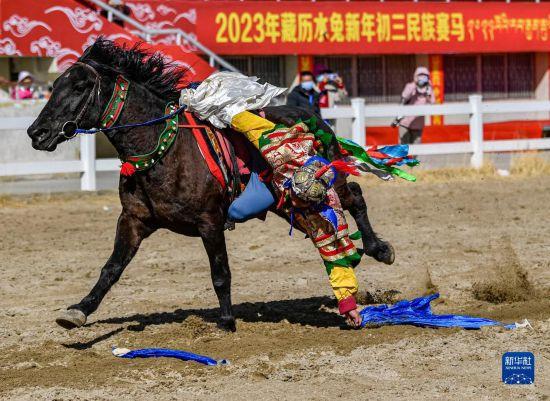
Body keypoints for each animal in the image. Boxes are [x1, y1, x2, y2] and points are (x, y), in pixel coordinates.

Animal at [28, 39, 394, 330]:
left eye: (78, 88)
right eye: (54, 86)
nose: (37, 132)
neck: (165, 149)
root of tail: (316, 117)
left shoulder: (210, 221)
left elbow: (220, 272)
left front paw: (227, 320)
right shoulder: (134, 219)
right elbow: (111, 268)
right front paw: (79, 309)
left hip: (326, 183)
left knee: (355, 197)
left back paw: (379, 248)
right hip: (284, 202)